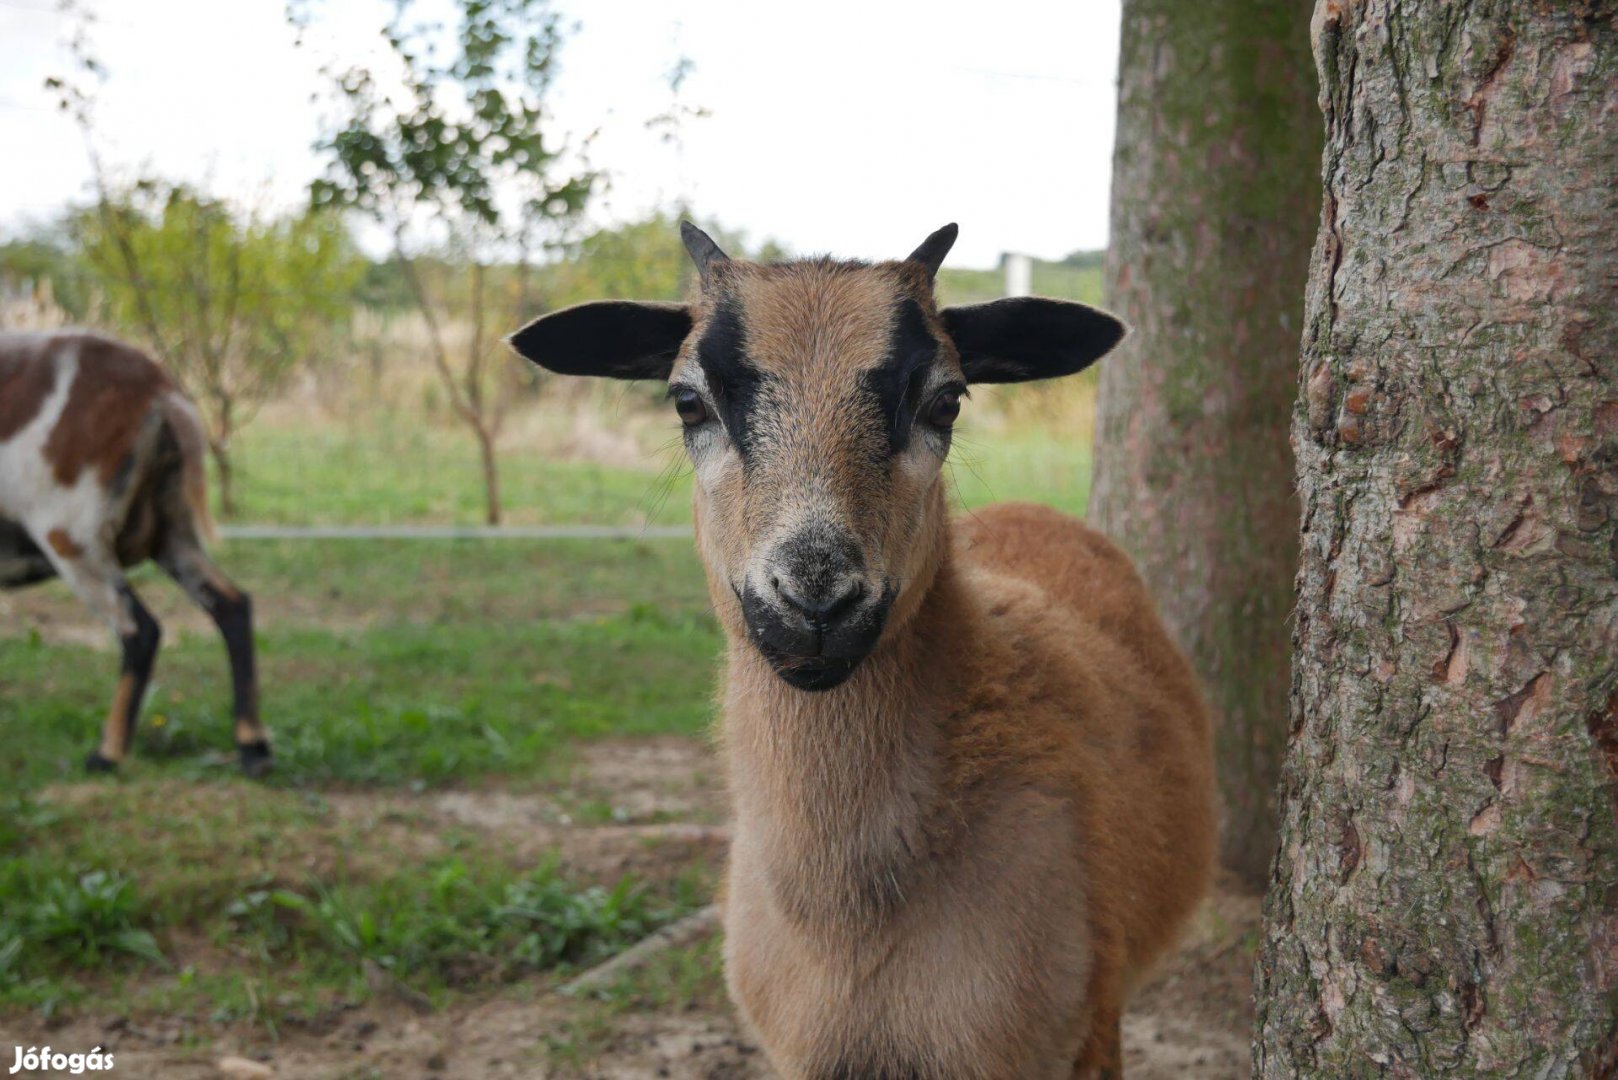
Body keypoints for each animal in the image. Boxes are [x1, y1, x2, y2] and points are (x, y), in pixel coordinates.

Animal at [0, 331, 268, 777]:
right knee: (231, 604)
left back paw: (107, 754)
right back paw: (253, 747)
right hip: (172, 531)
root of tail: (159, 392)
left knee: (140, 630)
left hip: (73, 537)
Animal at [508, 223, 1216, 1075]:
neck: (848, 925)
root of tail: (1031, 508)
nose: (815, 598)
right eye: (687, 401)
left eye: (946, 400)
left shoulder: (1073, 1034)